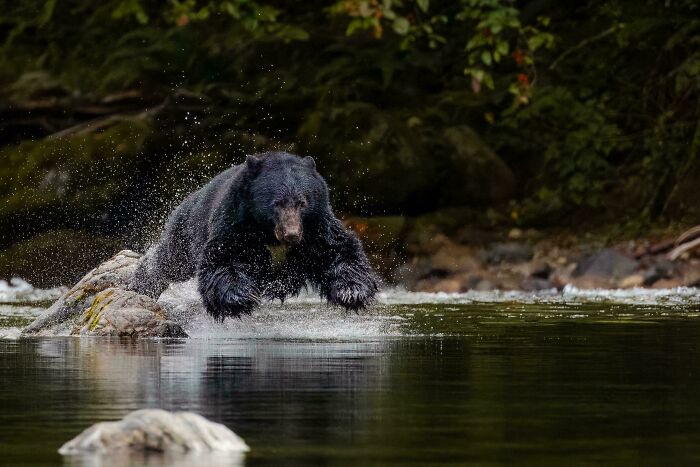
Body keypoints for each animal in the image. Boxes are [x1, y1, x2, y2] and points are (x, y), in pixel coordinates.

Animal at [128, 151, 378, 321]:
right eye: (276, 203)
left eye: (302, 202)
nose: (292, 235)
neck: (269, 233)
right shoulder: (235, 222)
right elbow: (224, 259)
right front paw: (240, 297)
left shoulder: (317, 226)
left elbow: (338, 250)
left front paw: (352, 292)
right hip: (188, 228)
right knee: (170, 261)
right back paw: (139, 284)